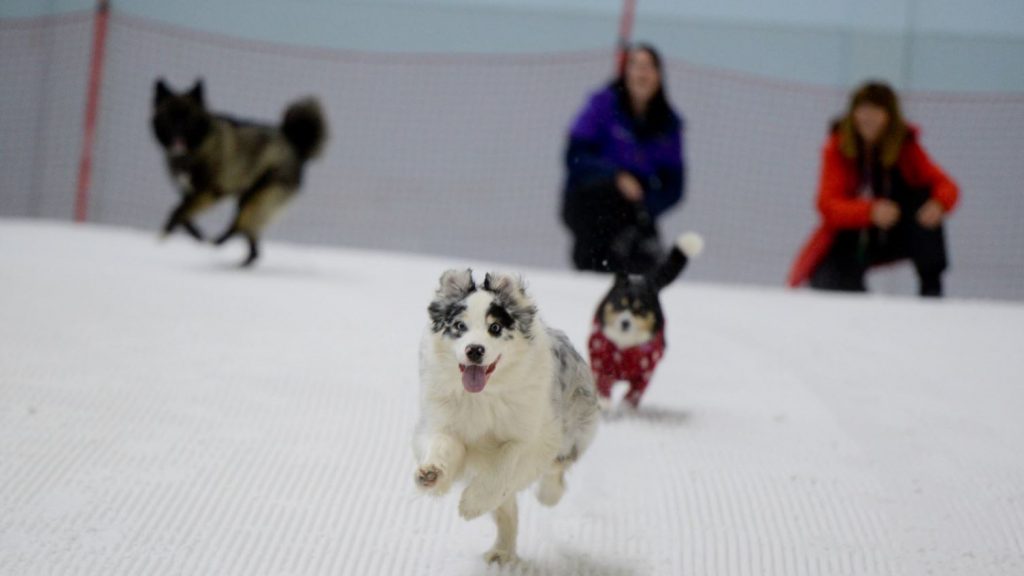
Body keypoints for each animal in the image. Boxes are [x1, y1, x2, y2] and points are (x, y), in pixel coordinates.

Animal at [411, 268, 598, 561]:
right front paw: (431, 475)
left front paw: (471, 504)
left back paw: (548, 495)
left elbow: (508, 461)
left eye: (495, 328)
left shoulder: (533, 434)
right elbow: (443, 444)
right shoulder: (442, 420)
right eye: (459, 326)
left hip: (574, 427)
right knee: (506, 509)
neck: (484, 395)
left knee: (555, 468)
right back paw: (501, 552)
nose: (474, 350)